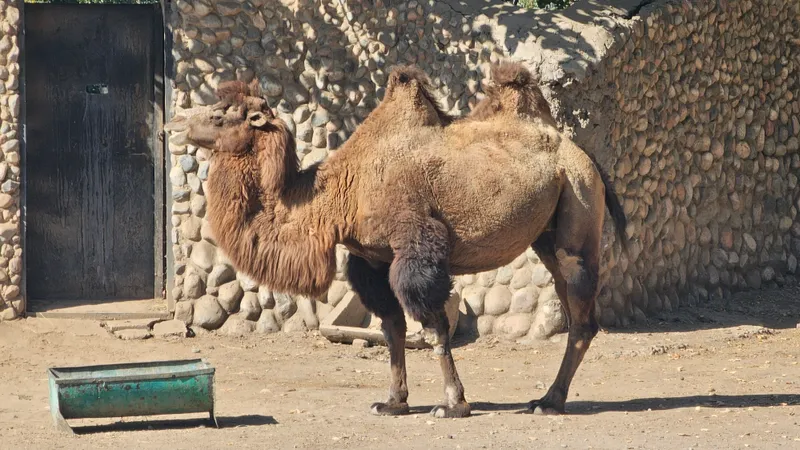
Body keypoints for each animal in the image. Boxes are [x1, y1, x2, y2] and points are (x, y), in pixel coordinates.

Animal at [164, 61, 627, 419]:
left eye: (221, 115)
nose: (173, 125)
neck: (339, 194)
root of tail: (586, 158)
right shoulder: (372, 260)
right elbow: (392, 329)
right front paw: (393, 403)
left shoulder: (417, 245)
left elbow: (435, 325)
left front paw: (452, 404)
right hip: (547, 233)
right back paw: (547, 398)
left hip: (577, 204)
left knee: (580, 309)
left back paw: (549, 401)